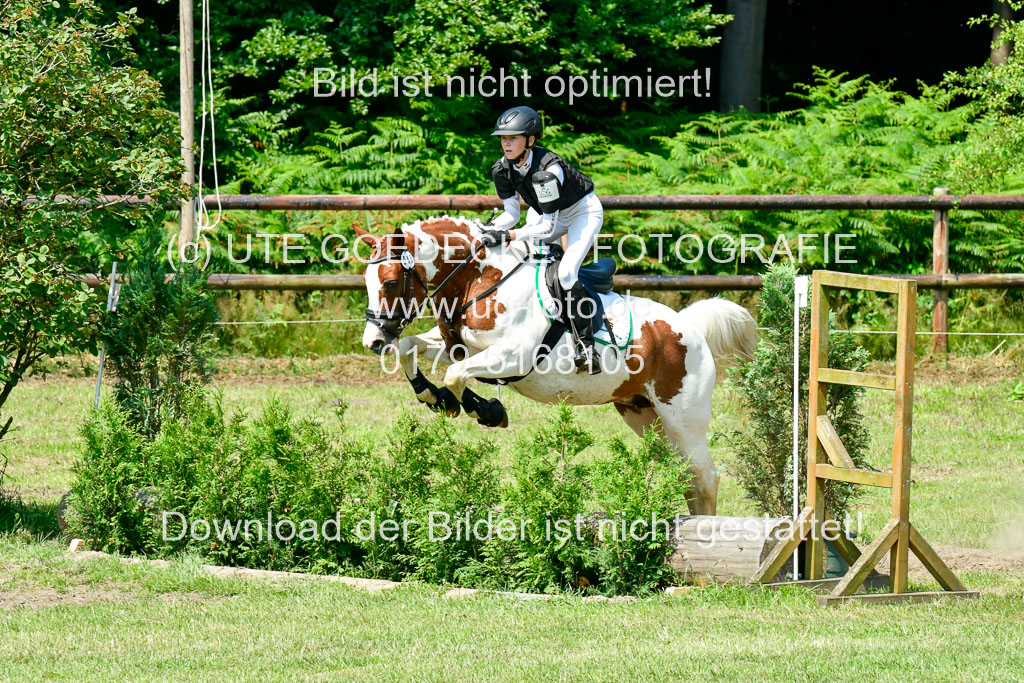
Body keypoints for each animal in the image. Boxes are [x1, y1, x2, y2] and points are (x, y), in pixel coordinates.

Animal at [360, 216, 757, 515]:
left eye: (391, 282)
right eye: (367, 281)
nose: (373, 341)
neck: (482, 279)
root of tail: (688, 327)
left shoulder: (513, 354)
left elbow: (456, 375)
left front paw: (486, 411)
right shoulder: (457, 346)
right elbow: (409, 348)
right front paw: (434, 397)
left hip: (683, 420)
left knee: (705, 477)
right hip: (645, 415)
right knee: (686, 475)